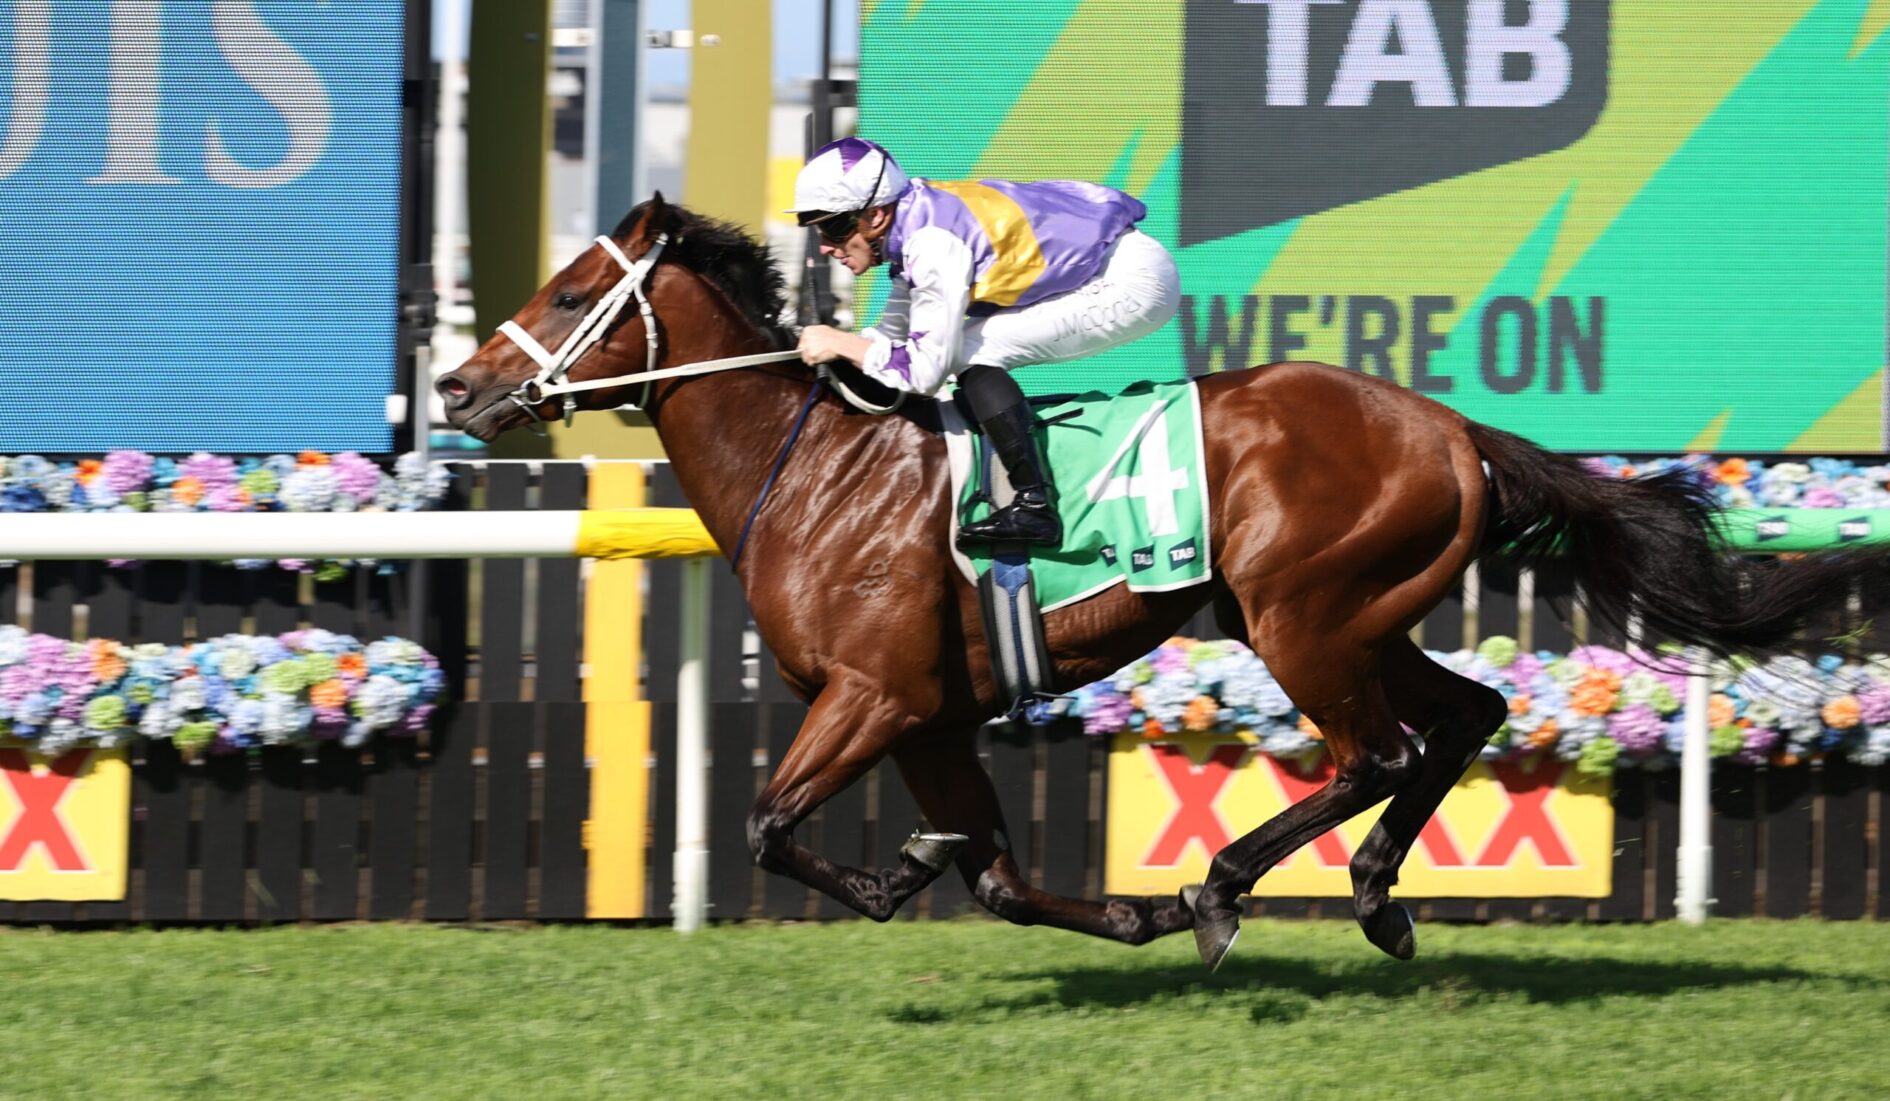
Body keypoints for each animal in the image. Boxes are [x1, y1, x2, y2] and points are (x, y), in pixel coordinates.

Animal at [436, 194, 1890, 969]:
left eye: (569, 289)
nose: (454, 384)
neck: (820, 472)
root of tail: (1447, 425)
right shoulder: (929, 717)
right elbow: (992, 874)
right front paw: (1083, 901)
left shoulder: (872, 696)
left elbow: (767, 824)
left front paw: (910, 880)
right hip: (1335, 612)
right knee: (1464, 717)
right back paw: (1373, 899)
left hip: (1305, 615)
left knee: (1376, 750)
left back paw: (1226, 885)